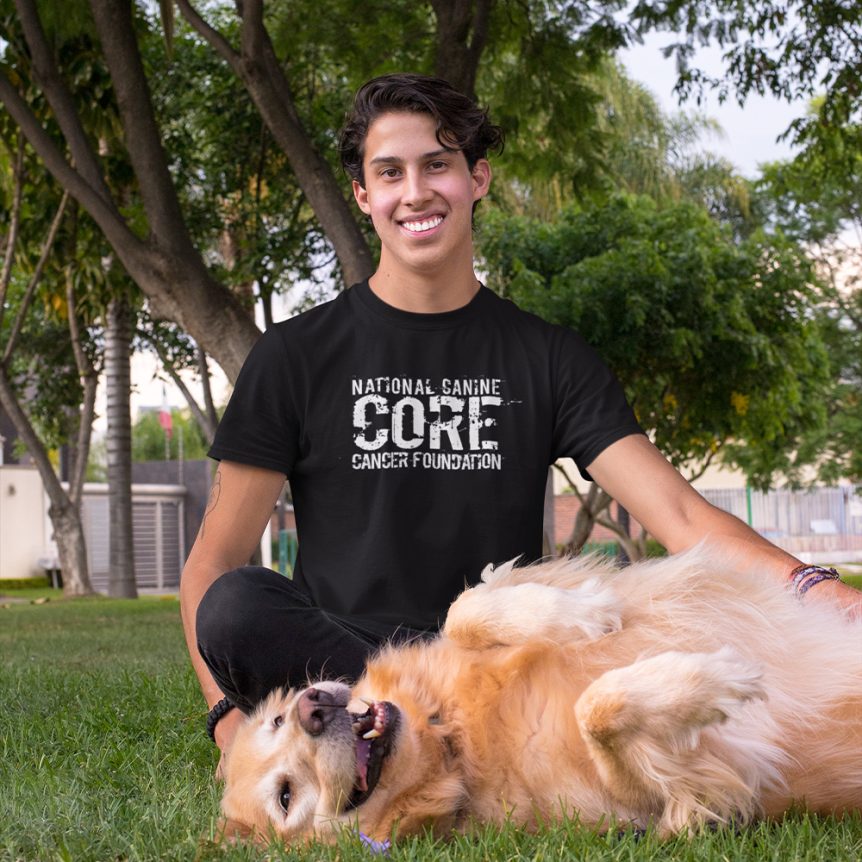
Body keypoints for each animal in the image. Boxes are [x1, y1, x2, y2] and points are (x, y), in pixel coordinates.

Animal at [219, 552, 862, 848]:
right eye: (285, 797)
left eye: (277, 719)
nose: (313, 708)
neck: (452, 738)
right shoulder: (670, 803)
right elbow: (596, 711)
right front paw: (715, 678)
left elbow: (463, 608)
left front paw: (583, 612)